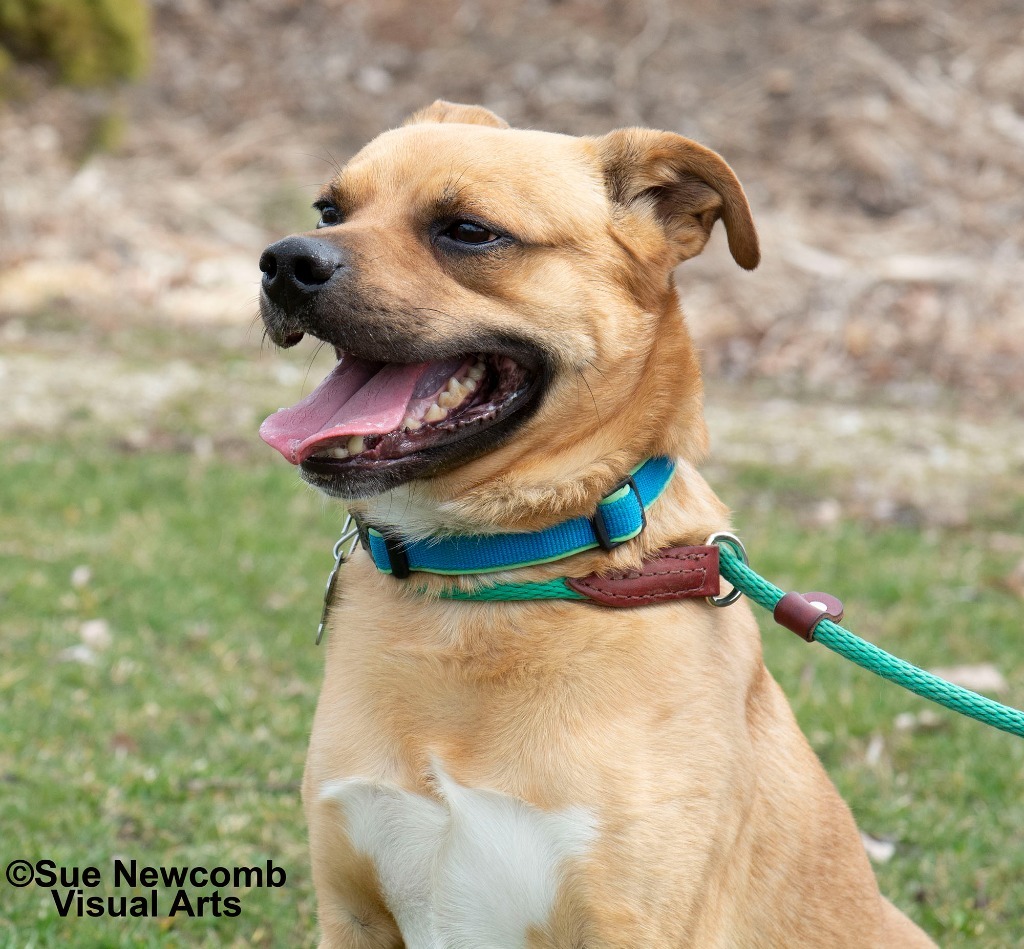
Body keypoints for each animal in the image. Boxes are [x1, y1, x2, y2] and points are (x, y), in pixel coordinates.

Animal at [258, 101, 937, 949]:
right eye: (329, 209)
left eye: (469, 231)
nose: (281, 262)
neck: (487, 577)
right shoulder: (353, 912)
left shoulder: (629, 919)